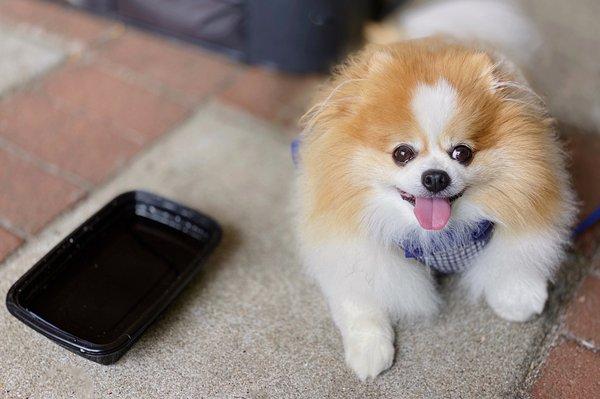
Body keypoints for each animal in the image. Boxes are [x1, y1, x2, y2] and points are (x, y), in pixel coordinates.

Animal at [296, 0, 576, 382]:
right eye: (402, 153)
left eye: (462, 153)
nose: (435, 177)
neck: (437, 239)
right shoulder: (349, 245)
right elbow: (361, 299)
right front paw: (369, 352)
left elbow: (516, 254)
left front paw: (517, 297)